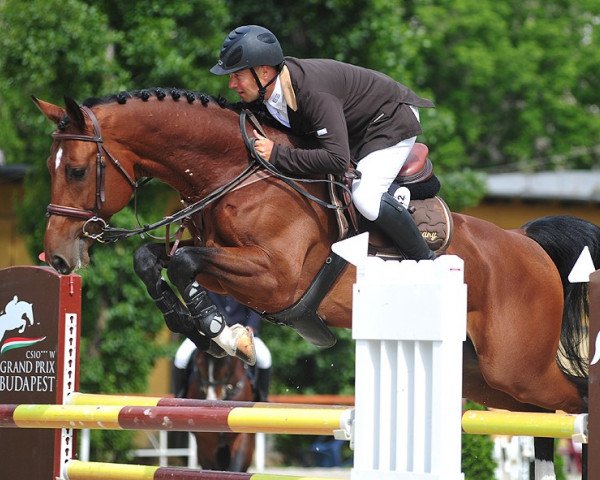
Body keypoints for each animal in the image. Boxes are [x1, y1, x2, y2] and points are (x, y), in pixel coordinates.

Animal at [34, 88, 600, 478]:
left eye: (78, 171)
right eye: (50, 168)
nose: (58, 258)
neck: (238, 173)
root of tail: (525, 243)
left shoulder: (275, 277)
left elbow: (185, 263)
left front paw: (221, 333)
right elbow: (153, 259)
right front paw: (193, 324)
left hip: (516, 367)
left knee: (573, 398)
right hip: (485, 377)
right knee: (540, 415)